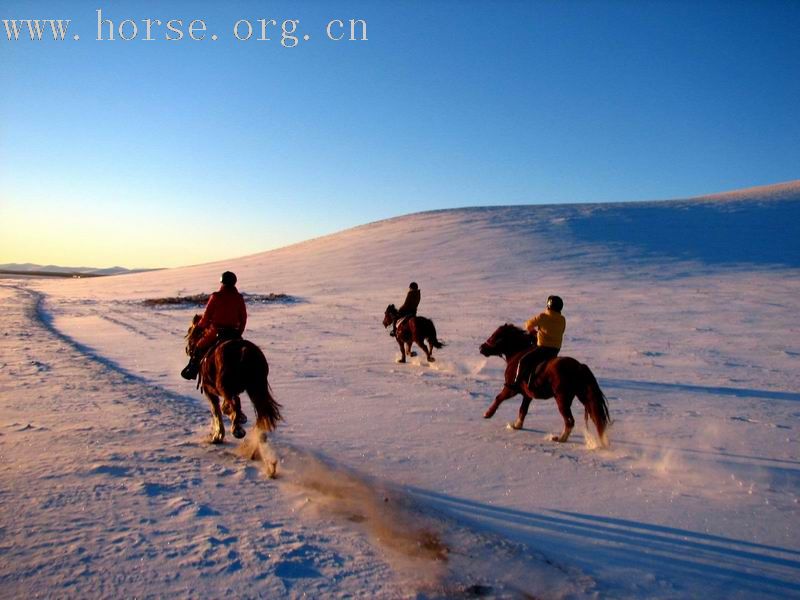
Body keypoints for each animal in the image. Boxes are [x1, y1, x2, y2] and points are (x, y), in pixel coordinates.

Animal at [478, 324, 608, 446]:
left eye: (495, 335)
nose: (481, 348)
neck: (517, 355)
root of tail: (579, 366)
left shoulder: (511, 389)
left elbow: (499, 398)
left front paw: (488, 414)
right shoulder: (527, 395)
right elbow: (523, 410)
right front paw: (517, 425)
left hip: (561, 399)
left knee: (569, 421)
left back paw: (560, 439)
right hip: (581, 395)